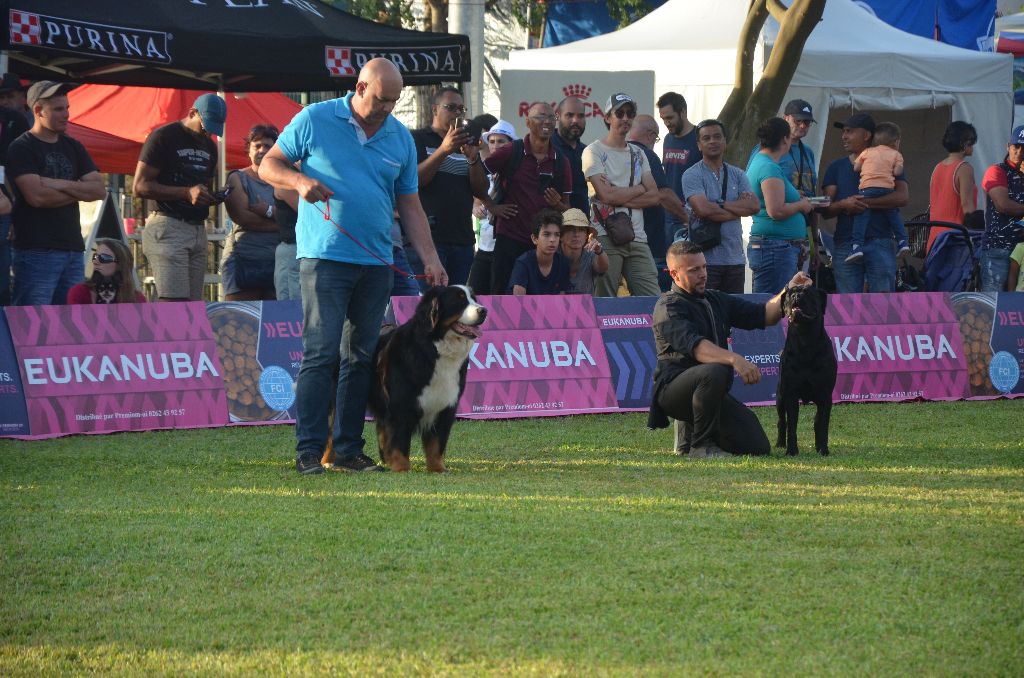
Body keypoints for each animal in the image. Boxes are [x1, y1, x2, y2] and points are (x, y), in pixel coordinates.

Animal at [368, 284, 487, 473]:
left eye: (473, 298)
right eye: (459, 299)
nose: (484, 310)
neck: (434, 348)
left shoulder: (446, 405)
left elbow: (436, 443)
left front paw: (438, 469)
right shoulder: (400, 405)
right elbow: (399, 440)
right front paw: (401, 468)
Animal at [774, 284, 839, 456]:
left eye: (807, 292)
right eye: (789, 294)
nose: (796, 295)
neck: (805, 340)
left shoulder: (825, 394)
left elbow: (823, 424)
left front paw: (823, 449)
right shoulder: (790, 394)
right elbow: (792, 424)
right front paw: (791, 450)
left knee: (817, 421)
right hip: (780, 396)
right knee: (782, 421)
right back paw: (780, 443)